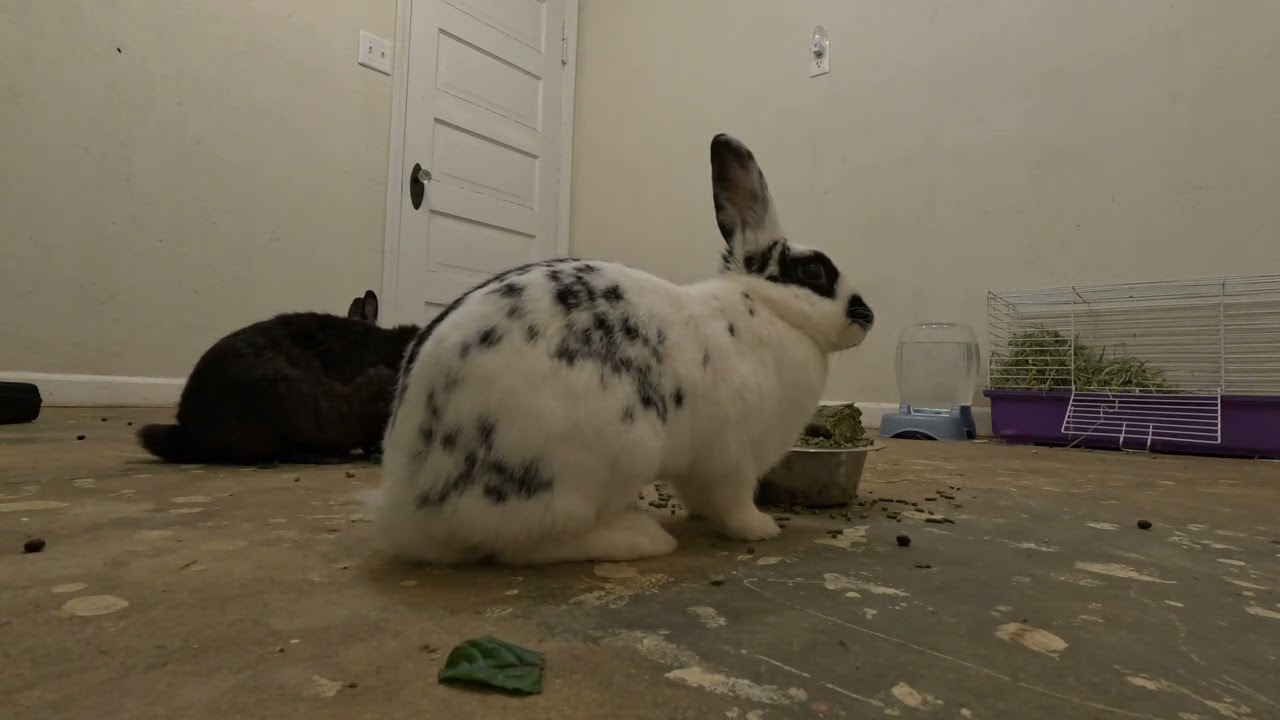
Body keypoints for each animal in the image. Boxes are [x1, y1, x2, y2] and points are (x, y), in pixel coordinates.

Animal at [366, 133, 876, 566]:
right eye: (814, 272)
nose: (867, 317)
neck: (769, 308)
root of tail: (411, 505)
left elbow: (701, 498)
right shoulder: (732, 457)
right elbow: (733, 501)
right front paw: (761, 528)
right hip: (595, 462)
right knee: (527, 546)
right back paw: (641, 537)